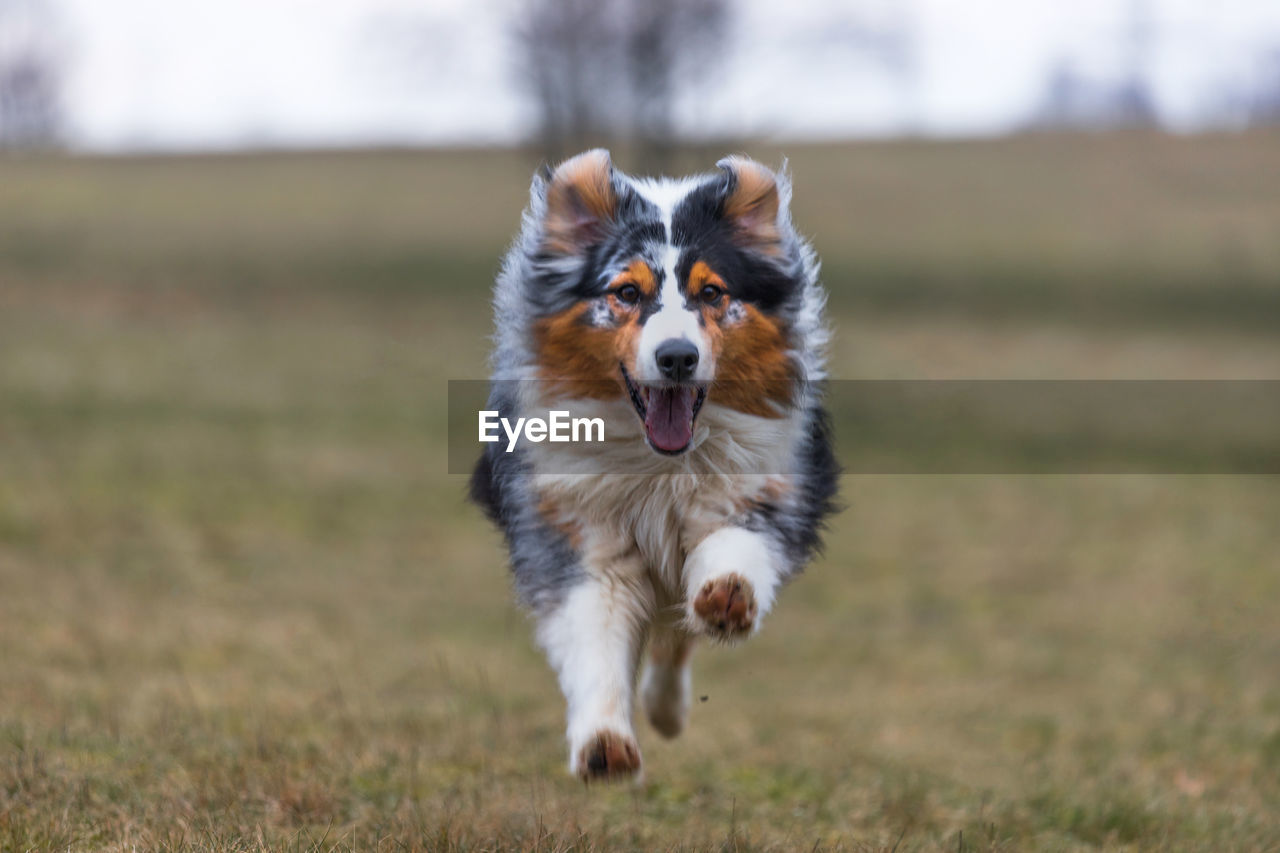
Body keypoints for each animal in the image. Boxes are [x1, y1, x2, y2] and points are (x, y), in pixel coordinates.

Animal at [471, 151, 839, 778]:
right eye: (625, 292)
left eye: (712, 292)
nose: (677, 358)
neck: (661, 467)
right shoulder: (581, 532)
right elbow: (596, 632)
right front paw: (604, 745)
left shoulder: (763, 487)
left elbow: (738, 547)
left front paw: (727, 595)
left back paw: (669, 706)